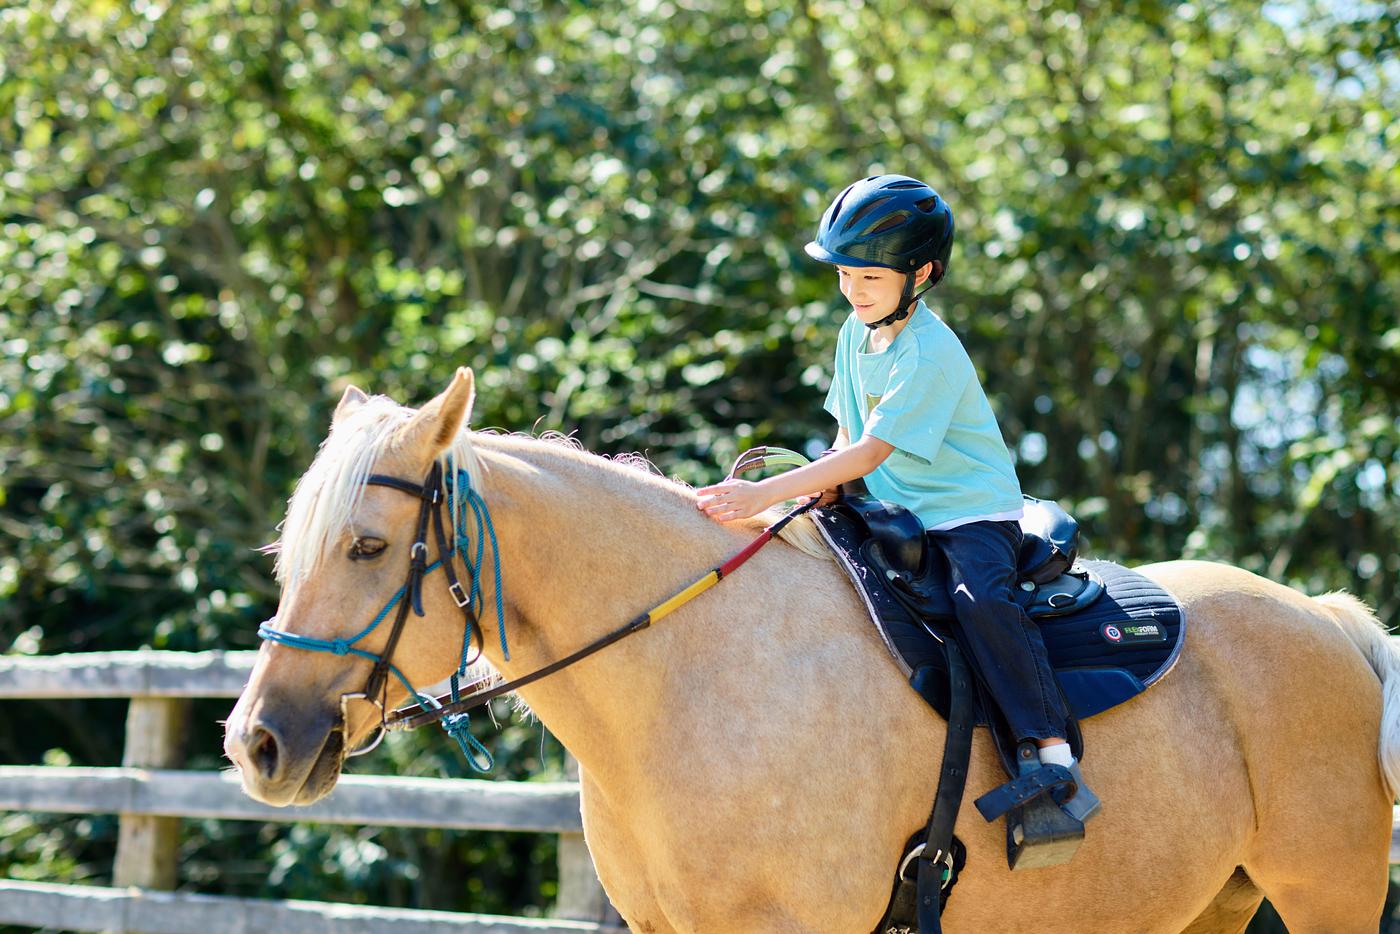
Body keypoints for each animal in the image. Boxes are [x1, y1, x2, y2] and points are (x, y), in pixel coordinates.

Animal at [224, 368, 1399, 933]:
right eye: (291, 548)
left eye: (369, 545)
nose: (257, 745)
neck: (686, 678)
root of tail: (1325, 619)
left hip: (1324, 897)